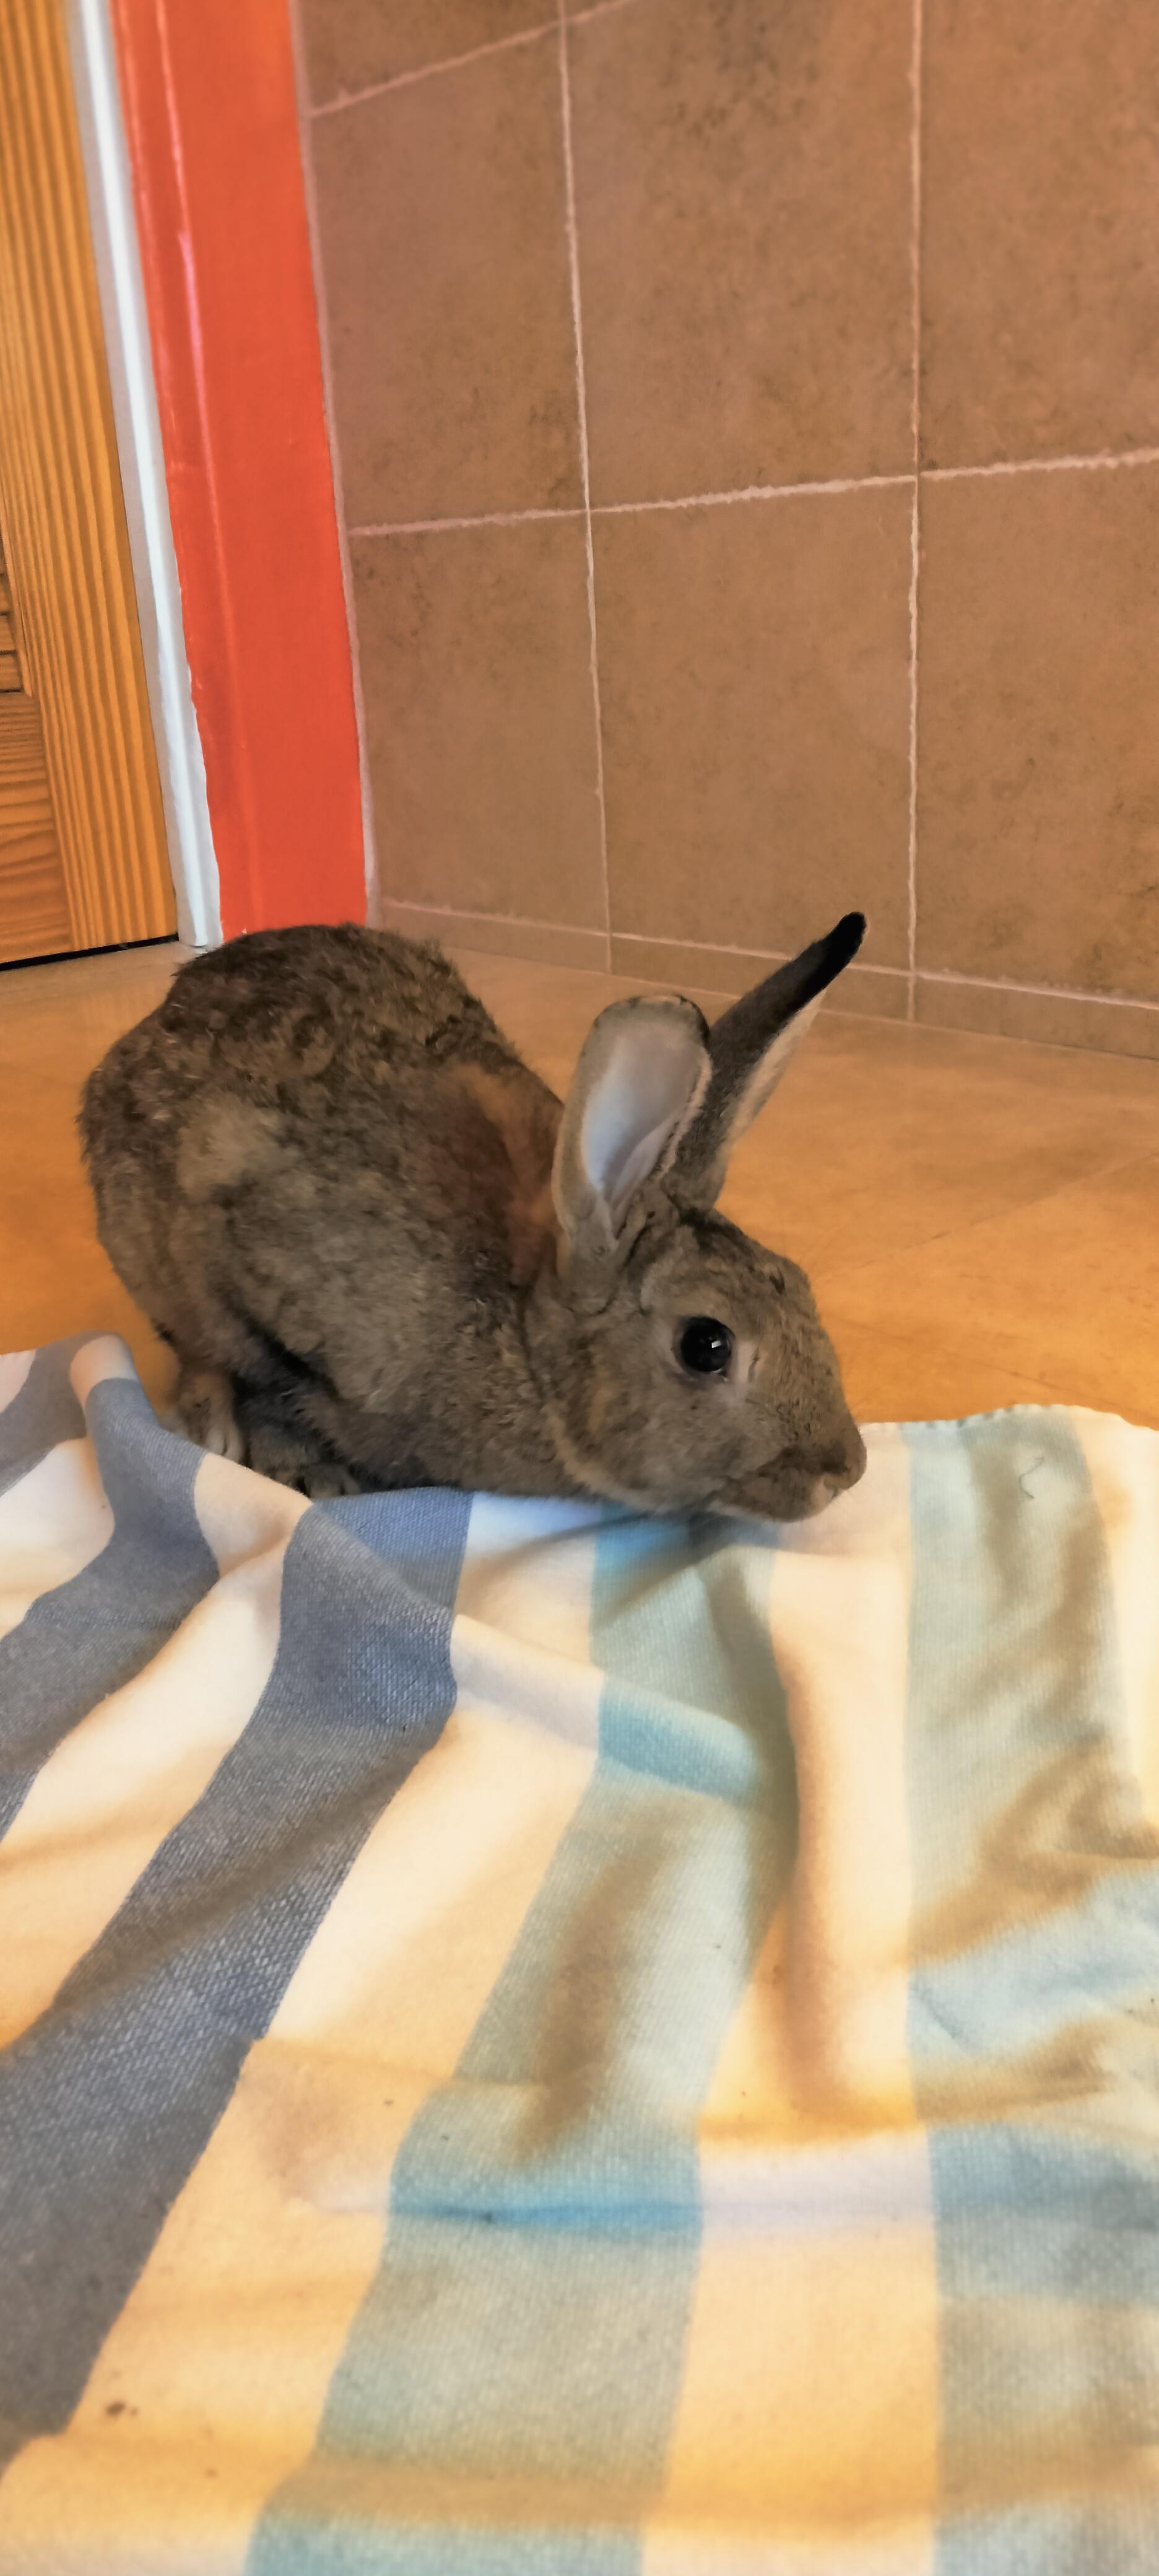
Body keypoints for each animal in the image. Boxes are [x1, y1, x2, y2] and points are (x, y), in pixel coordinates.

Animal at [79, 914, 868, 1519]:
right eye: (706, 1345)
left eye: (798, 1281)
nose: (846, 1469)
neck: (524, 1337)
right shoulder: (256, 1288)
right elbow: (268, 1388)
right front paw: (310, 1475)